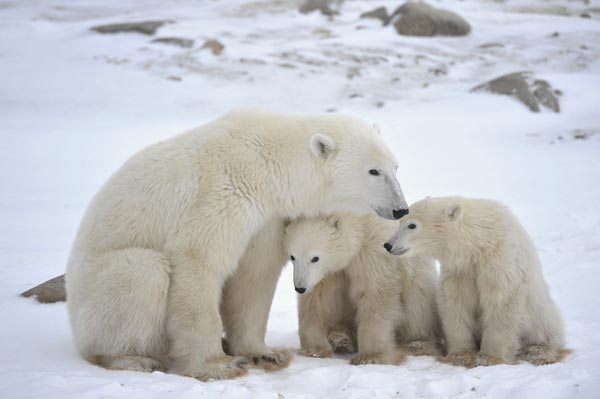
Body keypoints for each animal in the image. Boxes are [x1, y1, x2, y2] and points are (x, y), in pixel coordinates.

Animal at [65, 108, 408, 382]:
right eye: (373, 170)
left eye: (395, 166)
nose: (401, 209)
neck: (267, 163)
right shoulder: (221, 192)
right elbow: (198, 260)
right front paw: (218, 365)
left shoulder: (267, 218)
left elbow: (254, 276)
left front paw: (264, 354)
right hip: (95, 293)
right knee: (142, 272)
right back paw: (130, 357)